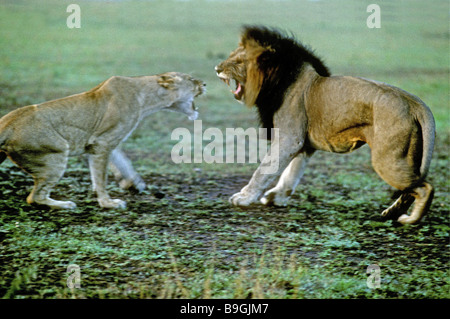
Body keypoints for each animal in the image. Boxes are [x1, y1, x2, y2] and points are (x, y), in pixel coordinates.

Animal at [0, 74, 206, 211]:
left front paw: (133, 183)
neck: (146, 100)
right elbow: (101, 177)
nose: (204, 83)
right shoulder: (102, 143)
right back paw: (65, 204)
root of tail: (6, 125)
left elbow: (122, 162)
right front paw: (108, 203)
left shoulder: (105, 143)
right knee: (34, 197)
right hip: (55, 156)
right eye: (191, 79)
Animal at [216, 26, 434, 225]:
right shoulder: (303, 143)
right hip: (407, 157)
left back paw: (410, 219)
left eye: (238, 61)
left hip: (387, 159)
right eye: (231, 55)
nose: (217, 69)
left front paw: (244, 197)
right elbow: (292, 172)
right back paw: (391, 213)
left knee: (426, 188)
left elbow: (264, 170)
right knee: (412, 188)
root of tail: (414, 102)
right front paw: (277, 196)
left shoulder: (290, 138)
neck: (278, 80)